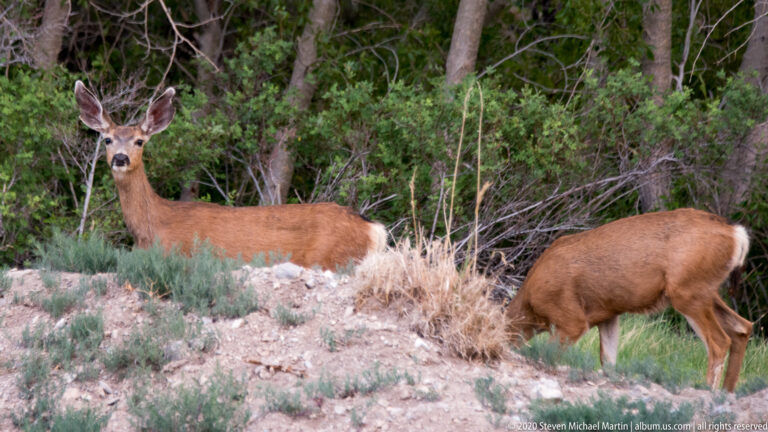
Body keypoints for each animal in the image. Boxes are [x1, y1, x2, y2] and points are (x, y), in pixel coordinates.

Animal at [74, 81, 387, 270]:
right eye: (107, 139)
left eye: (139, 141)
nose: (120, 158)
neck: (151, 229)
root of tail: (374, 229)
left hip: (329, 257)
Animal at [506, 208, 752, 392]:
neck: (530, 304)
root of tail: (736, 233)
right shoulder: (607, 315)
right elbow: (608, 360)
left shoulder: (571, 318)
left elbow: (550, 355)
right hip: (703, 290)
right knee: (742, 327)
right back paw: (727, 393)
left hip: (688, 292)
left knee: (719, 341)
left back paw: (708, 391)